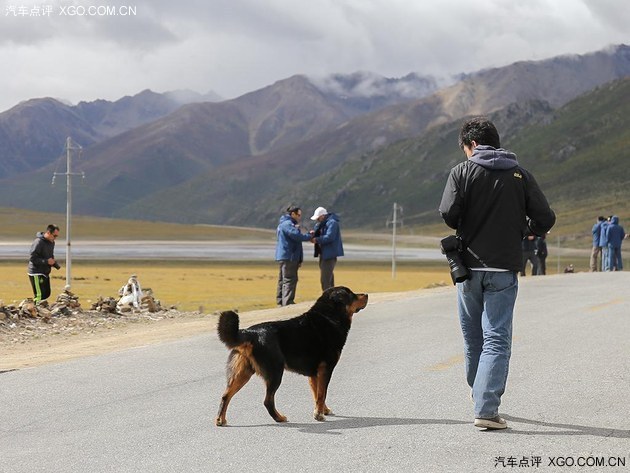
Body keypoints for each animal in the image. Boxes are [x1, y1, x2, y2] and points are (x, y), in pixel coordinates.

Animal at [216, 286, 368, 426]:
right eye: (351, 294)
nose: (366, 294)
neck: (330, 317)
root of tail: (250, 333)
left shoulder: (314, 374)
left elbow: (318, 394)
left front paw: (323, 410)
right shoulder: (326, 369)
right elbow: (322, 394)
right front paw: (319, 415)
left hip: (242, 373)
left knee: (225, 395)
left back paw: (220, 420)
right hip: (275, 372)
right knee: (267, 401)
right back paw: (280, 418)